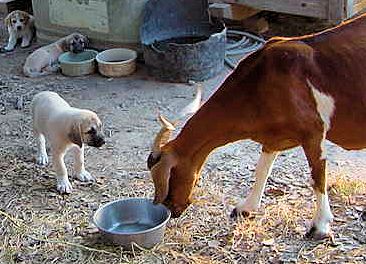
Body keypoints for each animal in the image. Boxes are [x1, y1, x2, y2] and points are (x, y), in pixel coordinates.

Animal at [147, 12, 366, 239]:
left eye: (169, 177)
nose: (171, 210)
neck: (259, 83)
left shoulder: (313, 133)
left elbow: (318, 177)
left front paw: (319, 226)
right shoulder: (273, 138)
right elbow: (262, 170)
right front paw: (245, 208)